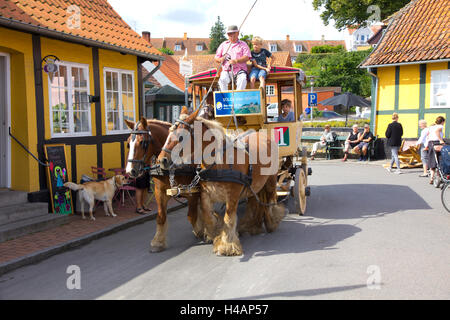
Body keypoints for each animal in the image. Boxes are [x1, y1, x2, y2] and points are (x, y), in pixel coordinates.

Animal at [125, 117, 205, 252]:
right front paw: (158, 242)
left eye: (142, 142)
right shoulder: (159, 192)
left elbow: (191, 215)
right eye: (128, 143)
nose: (130, 171)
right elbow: (161, 217)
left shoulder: (193, 192)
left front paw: (200, 231)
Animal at [158, 109, 284, 256]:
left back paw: (272, 221)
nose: (161, 160)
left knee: (270, 200)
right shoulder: (206, 194)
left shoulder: (233, 195)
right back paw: (250, 226)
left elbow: (228, 218)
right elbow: (208, 216)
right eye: (168, 133)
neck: (219, 162)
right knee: (254, 203)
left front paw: (227, 245)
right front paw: (216, 233)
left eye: (181, 137)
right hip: (254, 186)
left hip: (270, 181)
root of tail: (263, 135)